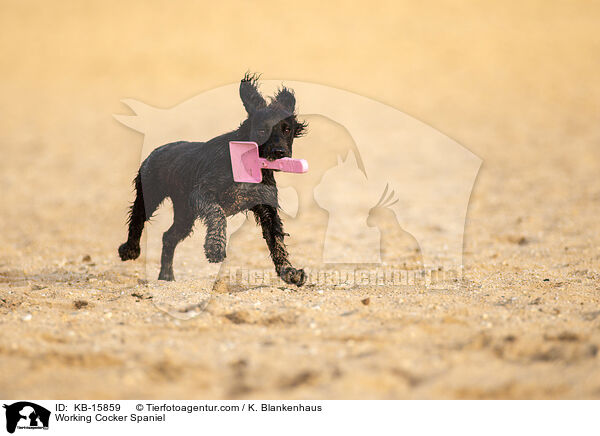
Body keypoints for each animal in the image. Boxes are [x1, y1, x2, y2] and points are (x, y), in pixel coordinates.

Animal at [118, 73, 308, 286]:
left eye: (287, 129)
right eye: (261, 130)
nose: (279, 152)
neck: (248, 162)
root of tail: (156, 150)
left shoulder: (267, 208)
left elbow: (277, 242)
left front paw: (290, 272)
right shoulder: (202, 193)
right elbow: (217, 213)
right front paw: (215, 248)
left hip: (185, 213)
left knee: (168, 237)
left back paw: (166, 276)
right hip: (150, 195)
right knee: (137, 219)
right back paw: (129, 249)